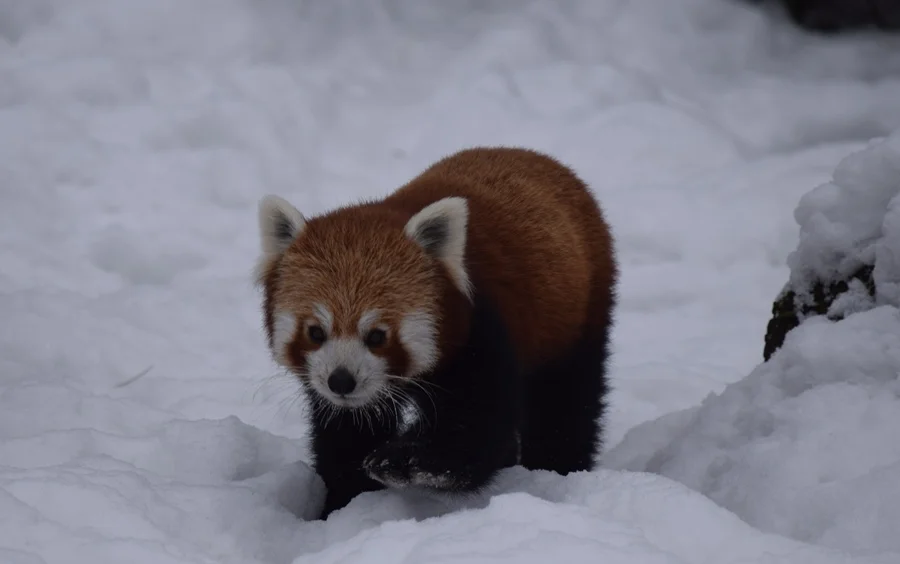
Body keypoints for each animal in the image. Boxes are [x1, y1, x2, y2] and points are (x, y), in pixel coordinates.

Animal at [256, 147, 616, 520]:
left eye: (377, 336)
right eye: (315, 332)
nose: (341, 381)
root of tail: (536, 157)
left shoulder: (483, 334)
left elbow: (476, 433)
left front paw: (402, 459)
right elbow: (345, 438)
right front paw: (344, 506)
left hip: (577, 316)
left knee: (566, 403)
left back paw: (556, 469)